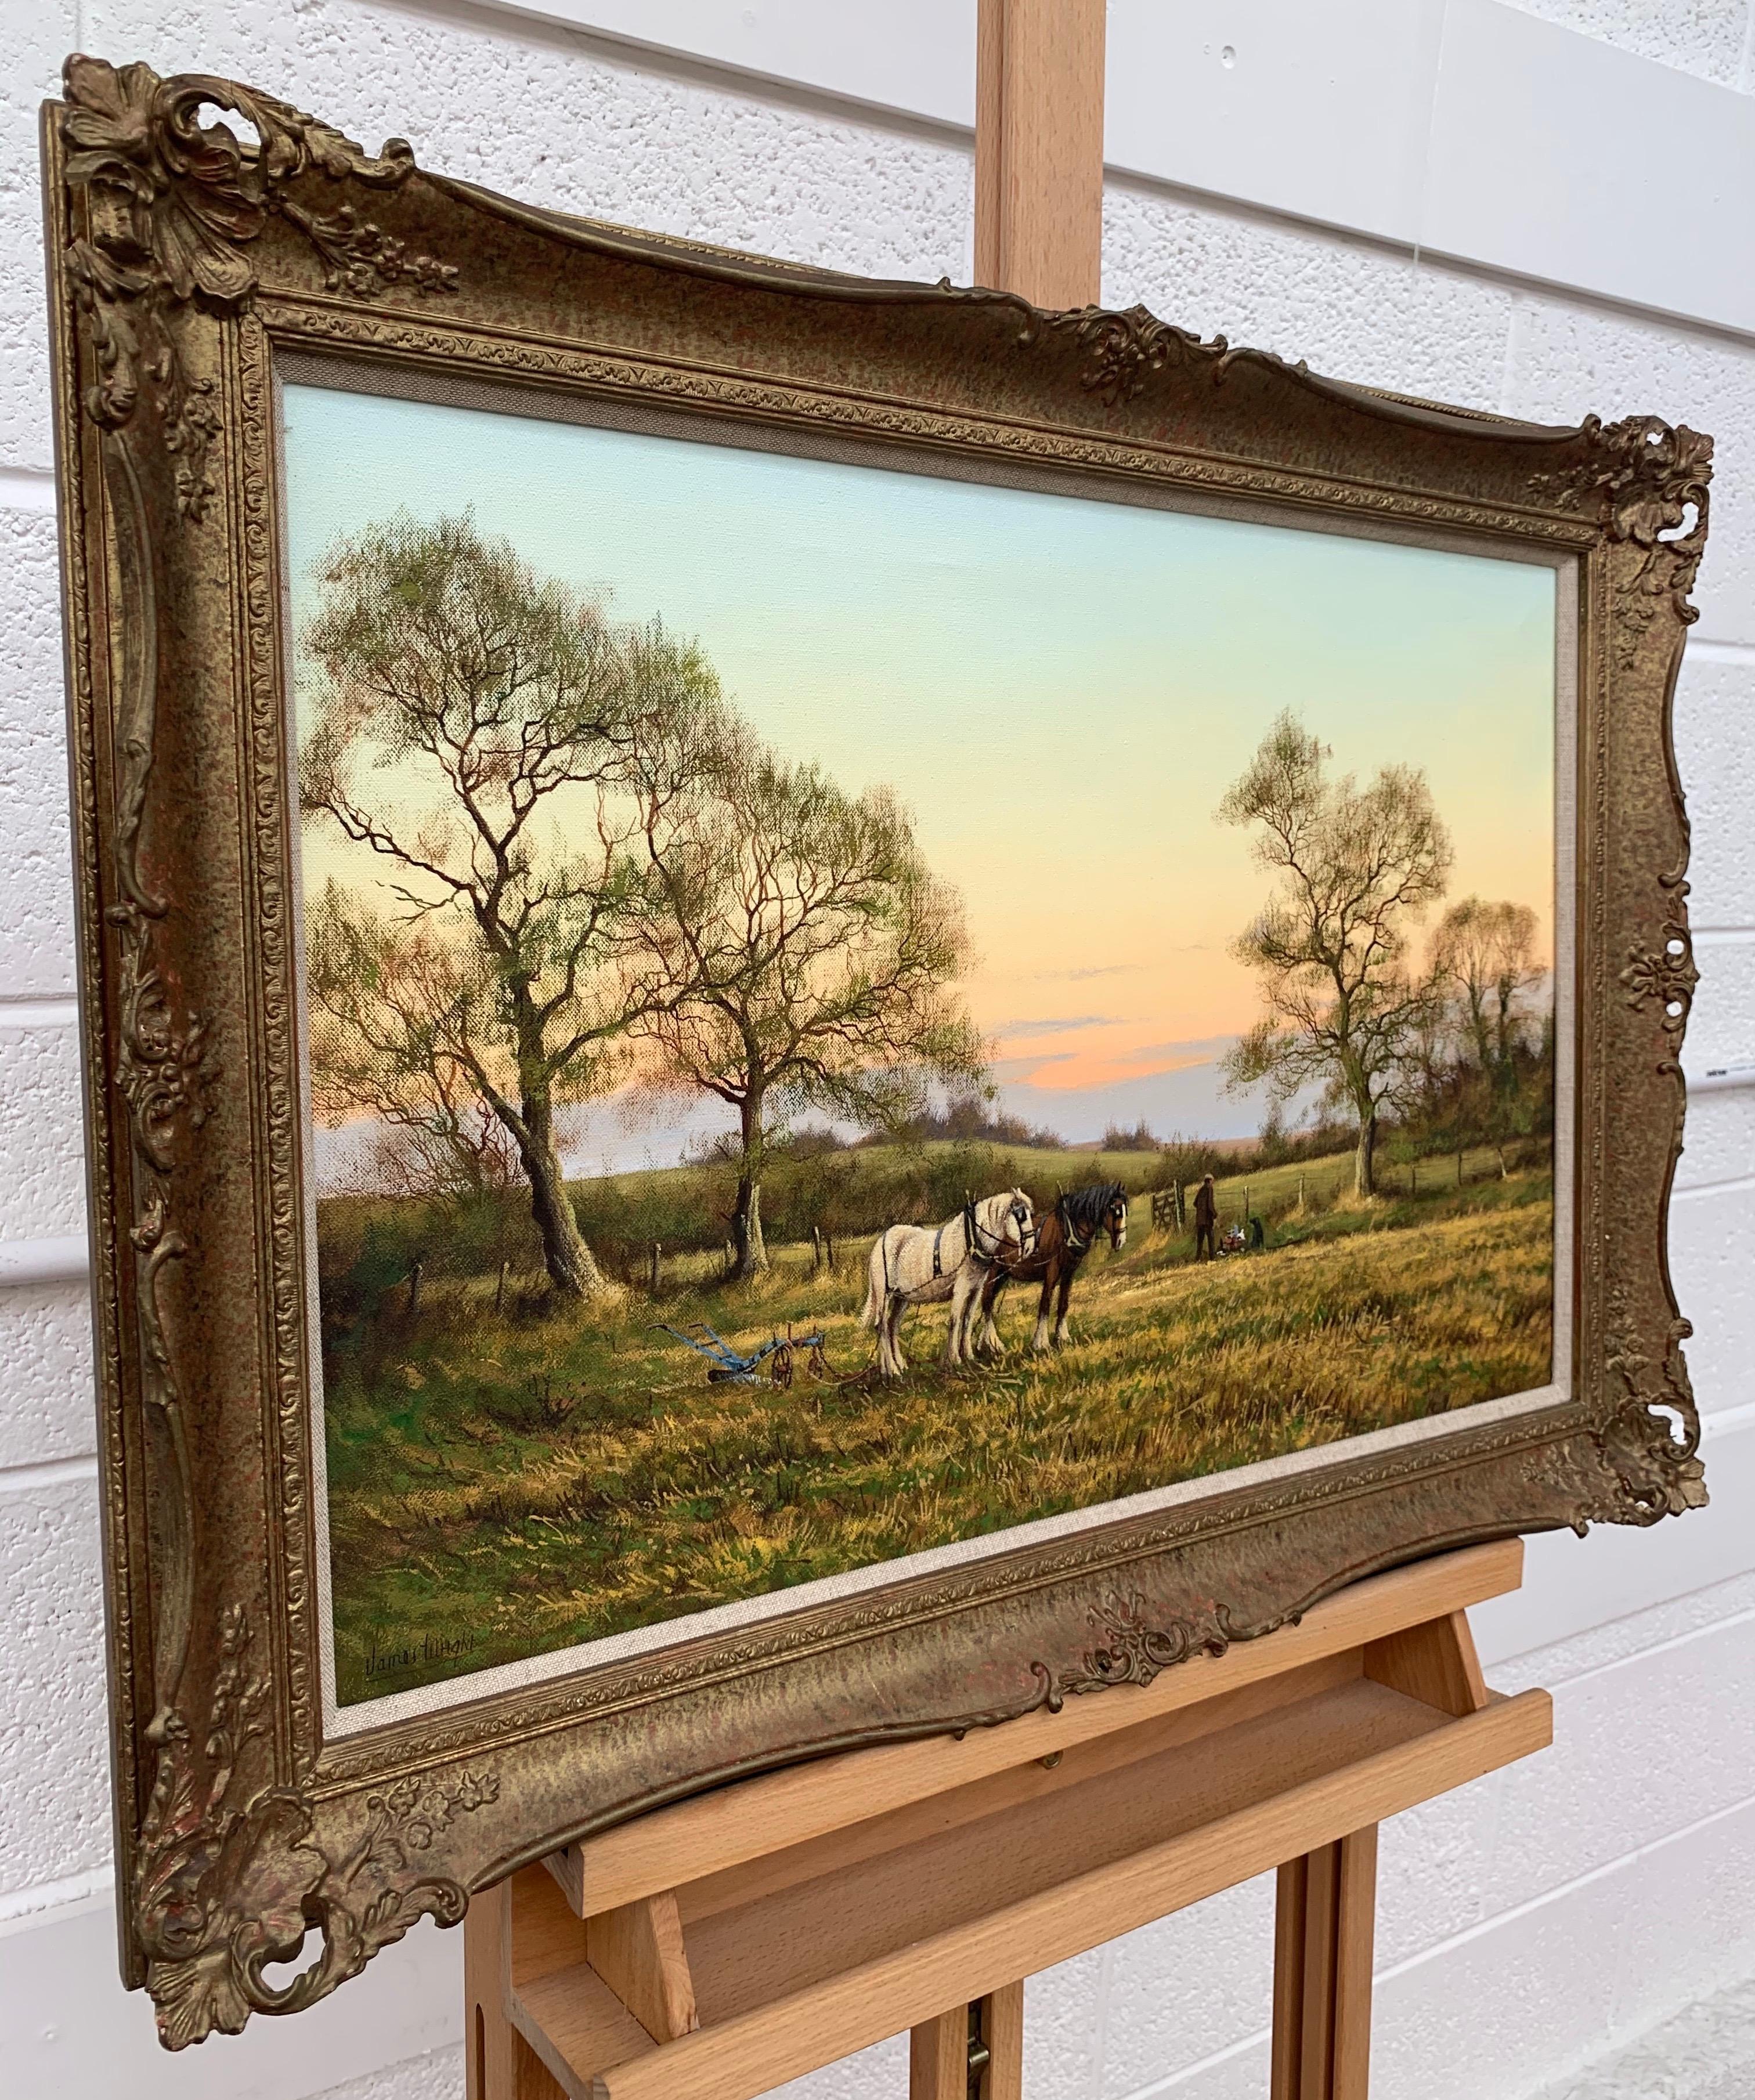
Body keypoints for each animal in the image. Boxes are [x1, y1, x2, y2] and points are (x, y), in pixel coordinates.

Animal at [869, 1192, 1041, 1386]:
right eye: (1021, 1216)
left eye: (1031, 1214)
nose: (1031, 1248)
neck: (970, 1240)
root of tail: (882, 1240)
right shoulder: (961, 1288)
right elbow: (955, 1321)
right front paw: (954, 1360)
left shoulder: (976, 1289)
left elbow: (967, 1320)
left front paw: (969, 1357)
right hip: (884, 1295)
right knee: (882, 1327)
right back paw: (892, 1370)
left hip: (902, 1298)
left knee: (892, 1326)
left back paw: (896, 1366)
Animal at [974, 1176, 1125, 1352]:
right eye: (1115, 1210)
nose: (1121, 1241)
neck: (1066, 1230)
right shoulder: (1052, 1271)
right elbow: (1045, 1304)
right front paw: (1041, 1343)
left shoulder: (1069, 1272)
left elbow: (1063, 1304)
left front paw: (1063, 1338)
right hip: (992, 1273)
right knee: (987, 1303)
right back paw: (993, 1344)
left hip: (1002, 1275)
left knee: (989, 1303)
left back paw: (987, 1344)